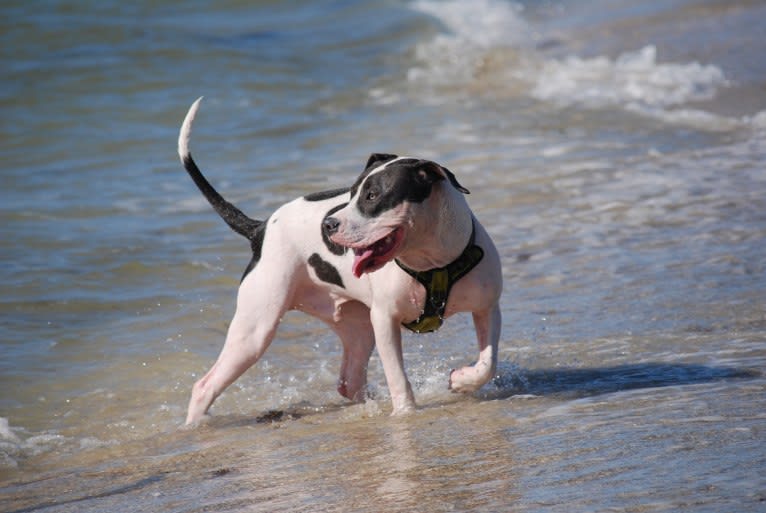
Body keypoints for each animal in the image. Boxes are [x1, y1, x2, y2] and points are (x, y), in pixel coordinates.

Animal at [178, 97, 504, 424]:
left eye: (372, 196)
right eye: (351, 193)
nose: (328, 224)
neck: (432, 262)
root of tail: (260, 228)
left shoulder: (487, 308)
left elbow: (488, 363)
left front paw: (462, 380)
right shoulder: (384, 320)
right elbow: (398, 377)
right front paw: (406, 413)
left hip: (357, 328)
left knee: (349, 381)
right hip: (255, 330)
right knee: (205, 386)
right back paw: (194, 426)